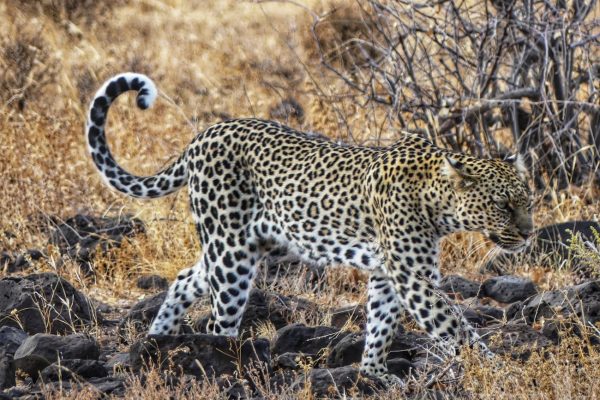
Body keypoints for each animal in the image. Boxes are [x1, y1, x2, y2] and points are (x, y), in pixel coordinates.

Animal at [86, 72, 532, 384]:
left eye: (527, 201)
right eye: (503, 205)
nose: (528, 233)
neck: (437, 197)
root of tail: (203, 135)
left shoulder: (389, 274)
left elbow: (381, 324)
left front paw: (374, 373)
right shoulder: (413, 277)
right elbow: (455, 328)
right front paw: (497, 371)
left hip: (247, 244)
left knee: (183, 278)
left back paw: (156, 344)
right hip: (231, 254)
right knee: (217, 323)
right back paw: (218, 368)